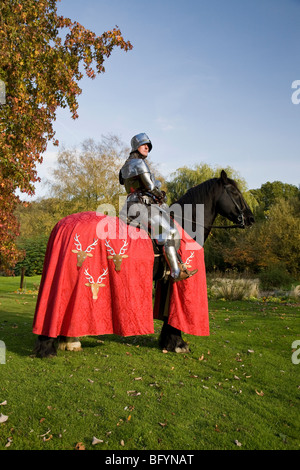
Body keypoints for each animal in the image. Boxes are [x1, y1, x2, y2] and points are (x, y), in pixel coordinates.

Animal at [34, 171, 254, 358]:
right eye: (235, 192)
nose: (251, 218)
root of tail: (63, 225)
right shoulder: (176, 280)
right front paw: (178, 343)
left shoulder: (166, 281)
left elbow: (167, 313)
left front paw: (169, 342)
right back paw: (49, 347)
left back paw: (69, 341)